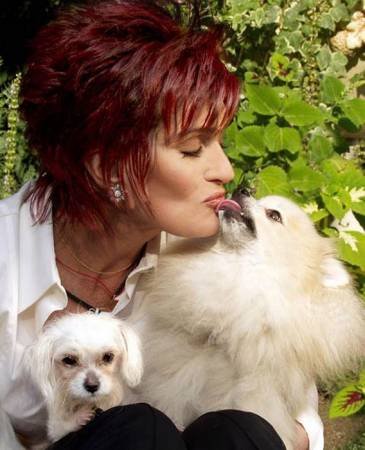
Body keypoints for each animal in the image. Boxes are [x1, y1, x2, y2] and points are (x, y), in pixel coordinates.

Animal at [25, 312, 142, 442]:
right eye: (69, 360)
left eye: (108, 356)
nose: (92, 386)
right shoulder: (55, 430)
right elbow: (63, 427)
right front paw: (80, 417)